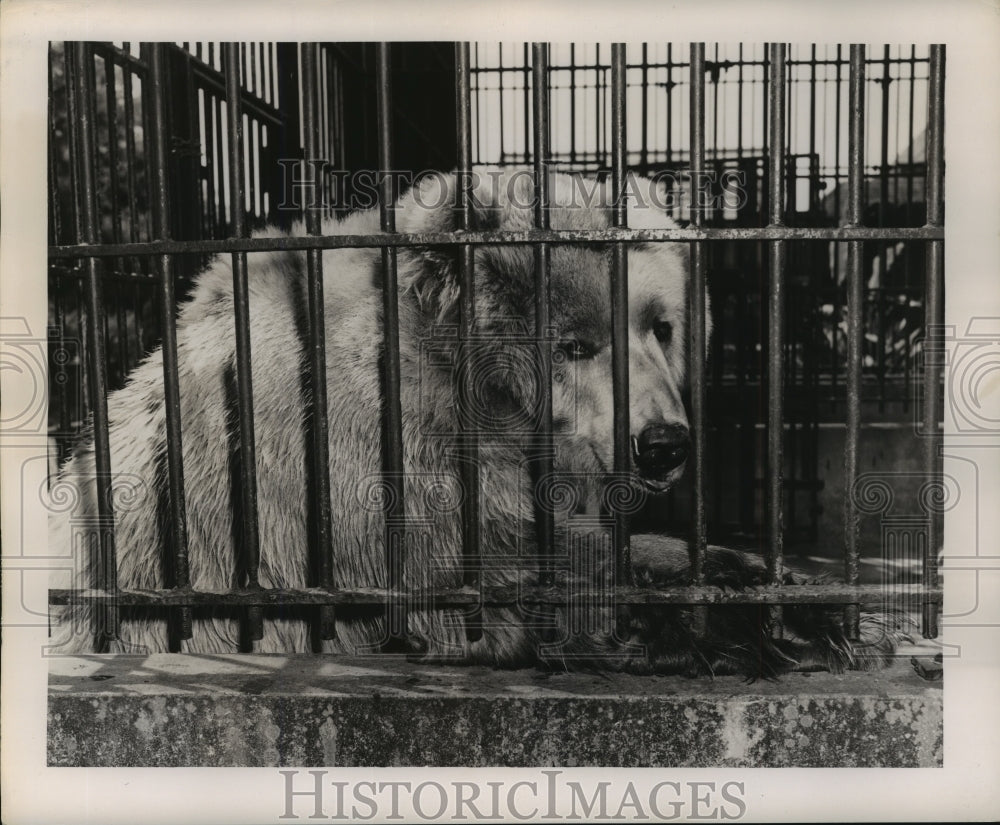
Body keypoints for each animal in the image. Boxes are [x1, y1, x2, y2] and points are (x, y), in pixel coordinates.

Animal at [45, 169, 908, 676]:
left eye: (661, 325)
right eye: (574, 341)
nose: (663, 443)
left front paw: (782, 586)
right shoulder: (357, 487)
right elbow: (501, 581)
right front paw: (765, 618)